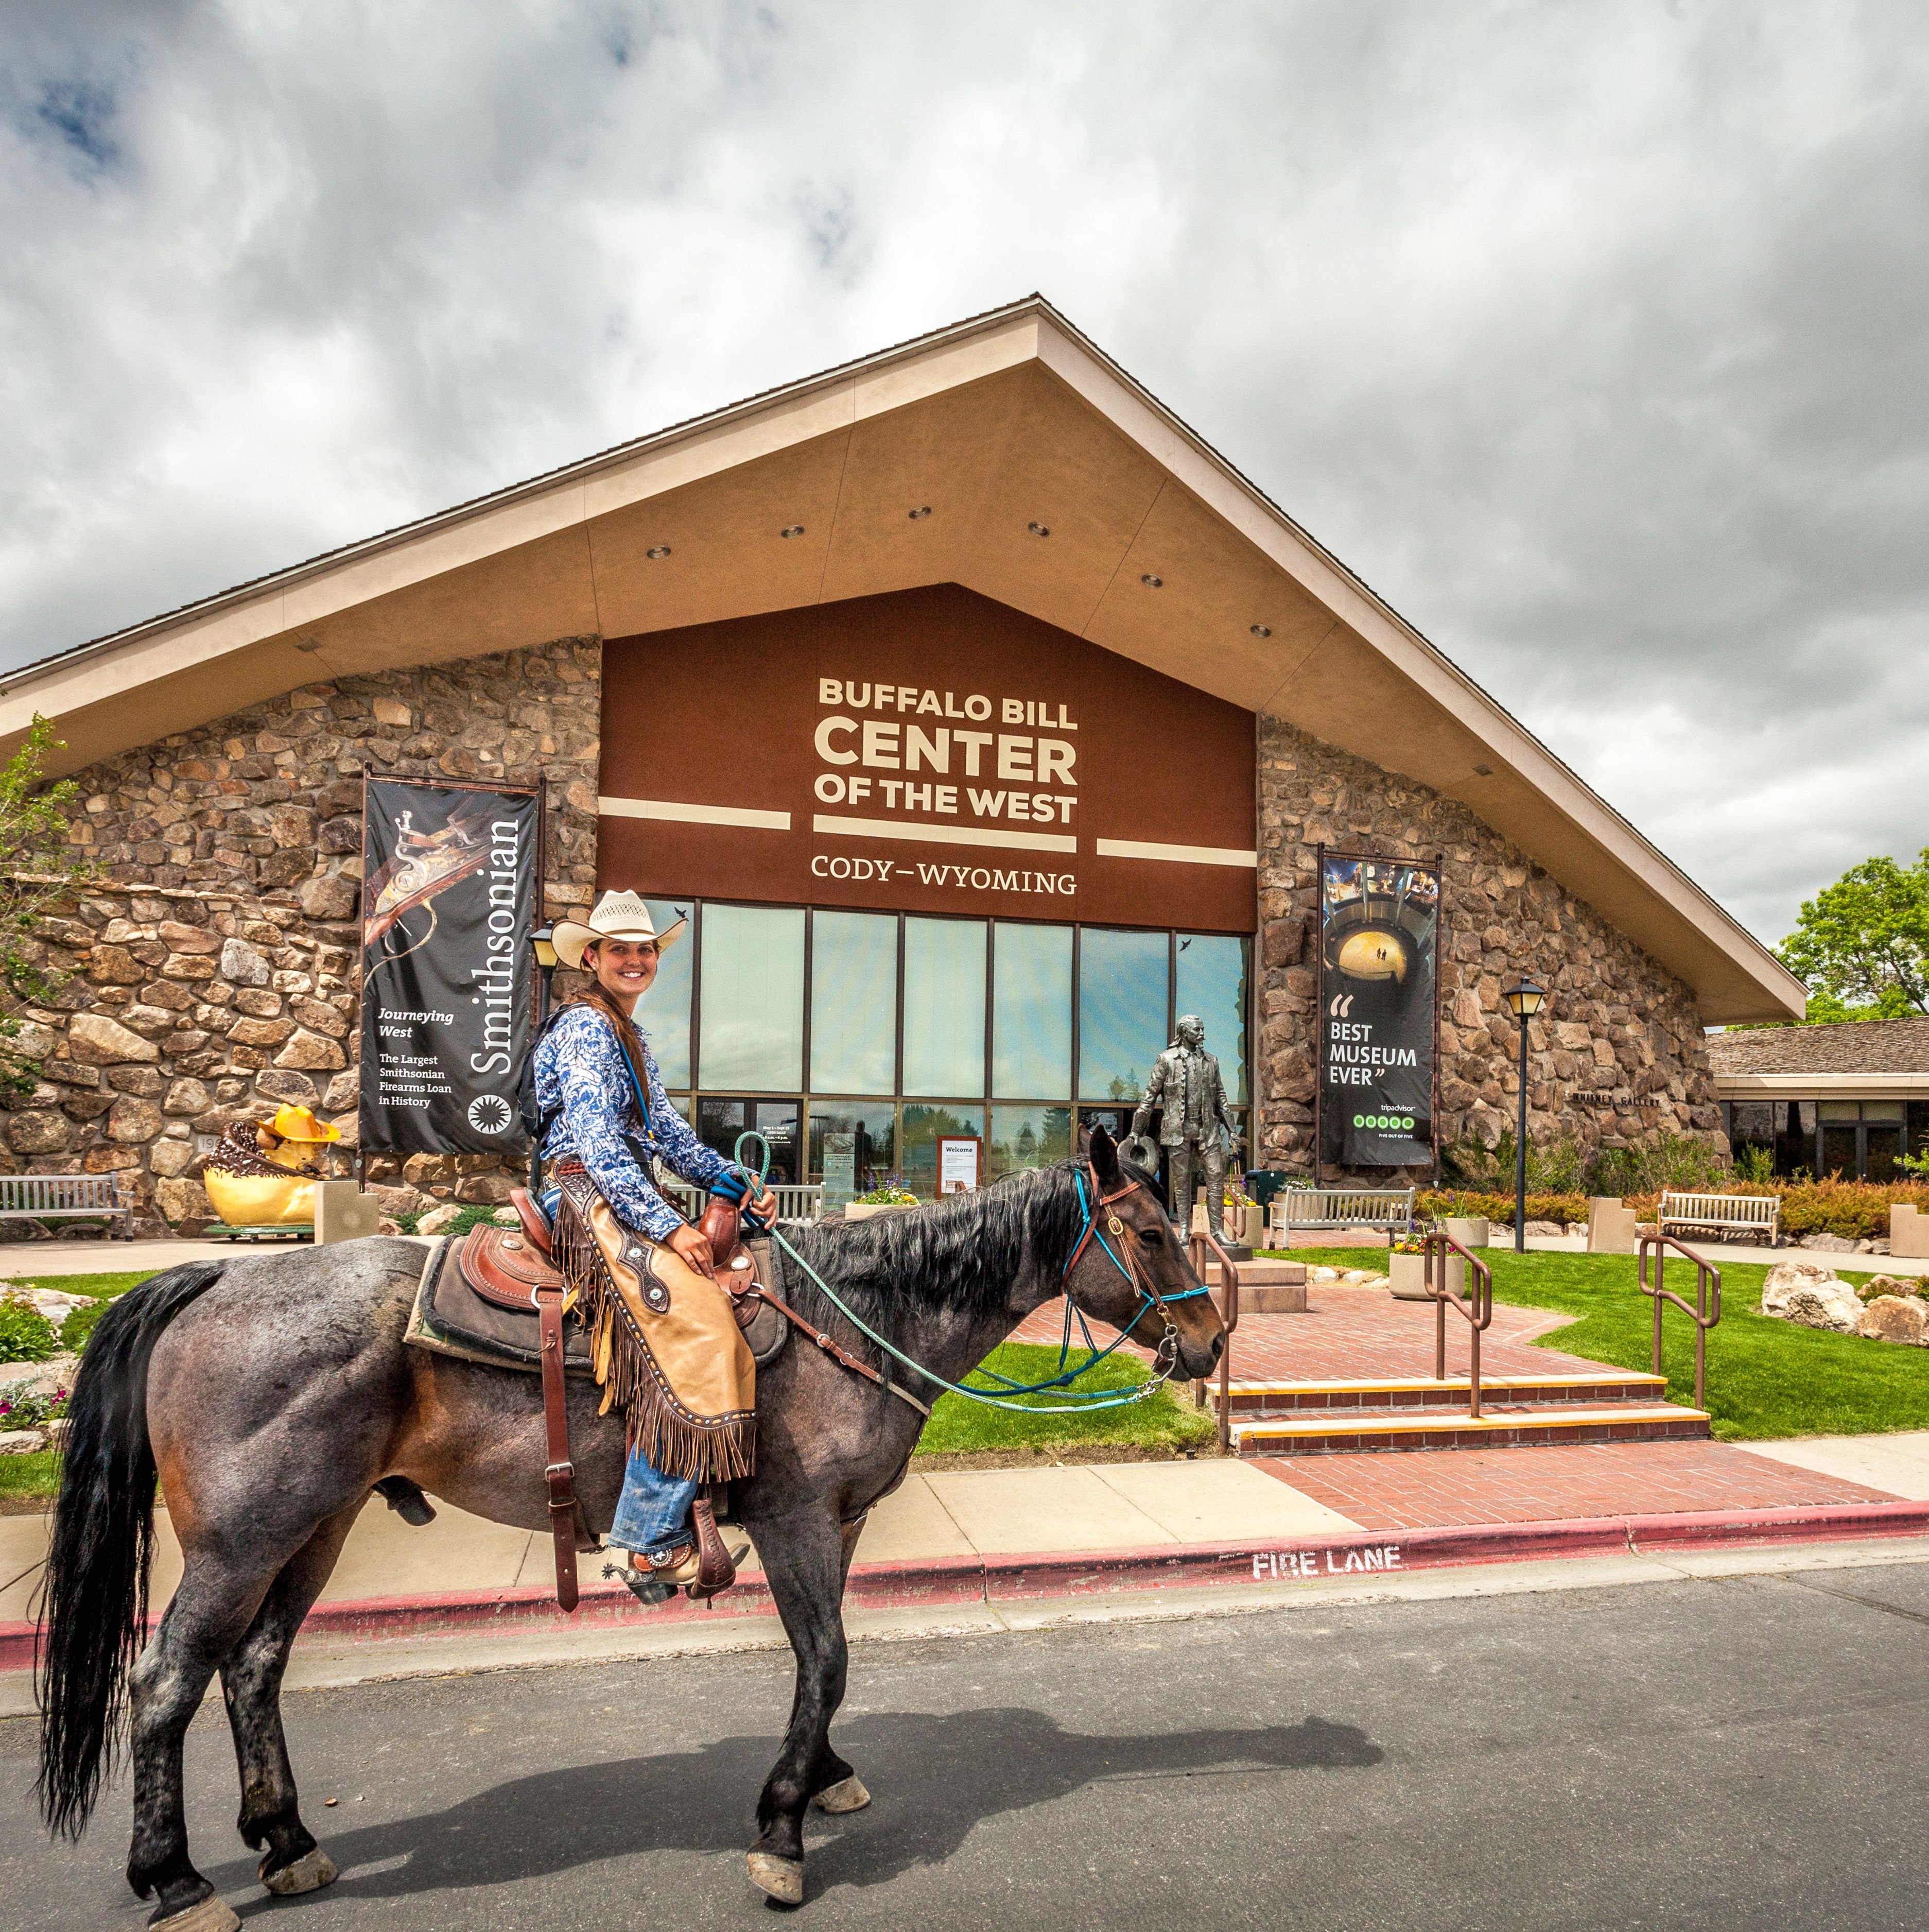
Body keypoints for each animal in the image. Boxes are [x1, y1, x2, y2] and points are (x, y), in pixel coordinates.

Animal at [34, 1128, 1220, 1916]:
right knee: (168, 1680)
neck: (862, 1317)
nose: (1209, 1342)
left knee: (255, 1667)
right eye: (1151, 1230)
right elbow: (827, 1657)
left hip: (314, 1525)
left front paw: (823, 1777)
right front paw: (782, 1826)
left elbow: (827, 1659)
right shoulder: (794, 1518)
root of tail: (212, 1278)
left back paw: (284, 1839)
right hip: (242, 1536)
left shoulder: (837, 1526)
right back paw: (175, 1877)